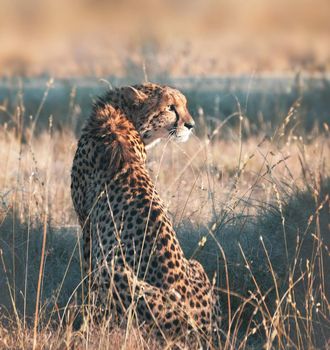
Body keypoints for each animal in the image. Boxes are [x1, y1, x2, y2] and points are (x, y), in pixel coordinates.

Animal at [71, 83, 220, 346]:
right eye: (170, 107)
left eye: (183, 105)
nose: (191, 125)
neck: (119, 114)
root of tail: (204, 329)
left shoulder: (87, 227)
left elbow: (86, 282)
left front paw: (85, 324)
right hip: (196, 264)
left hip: (114, 271)